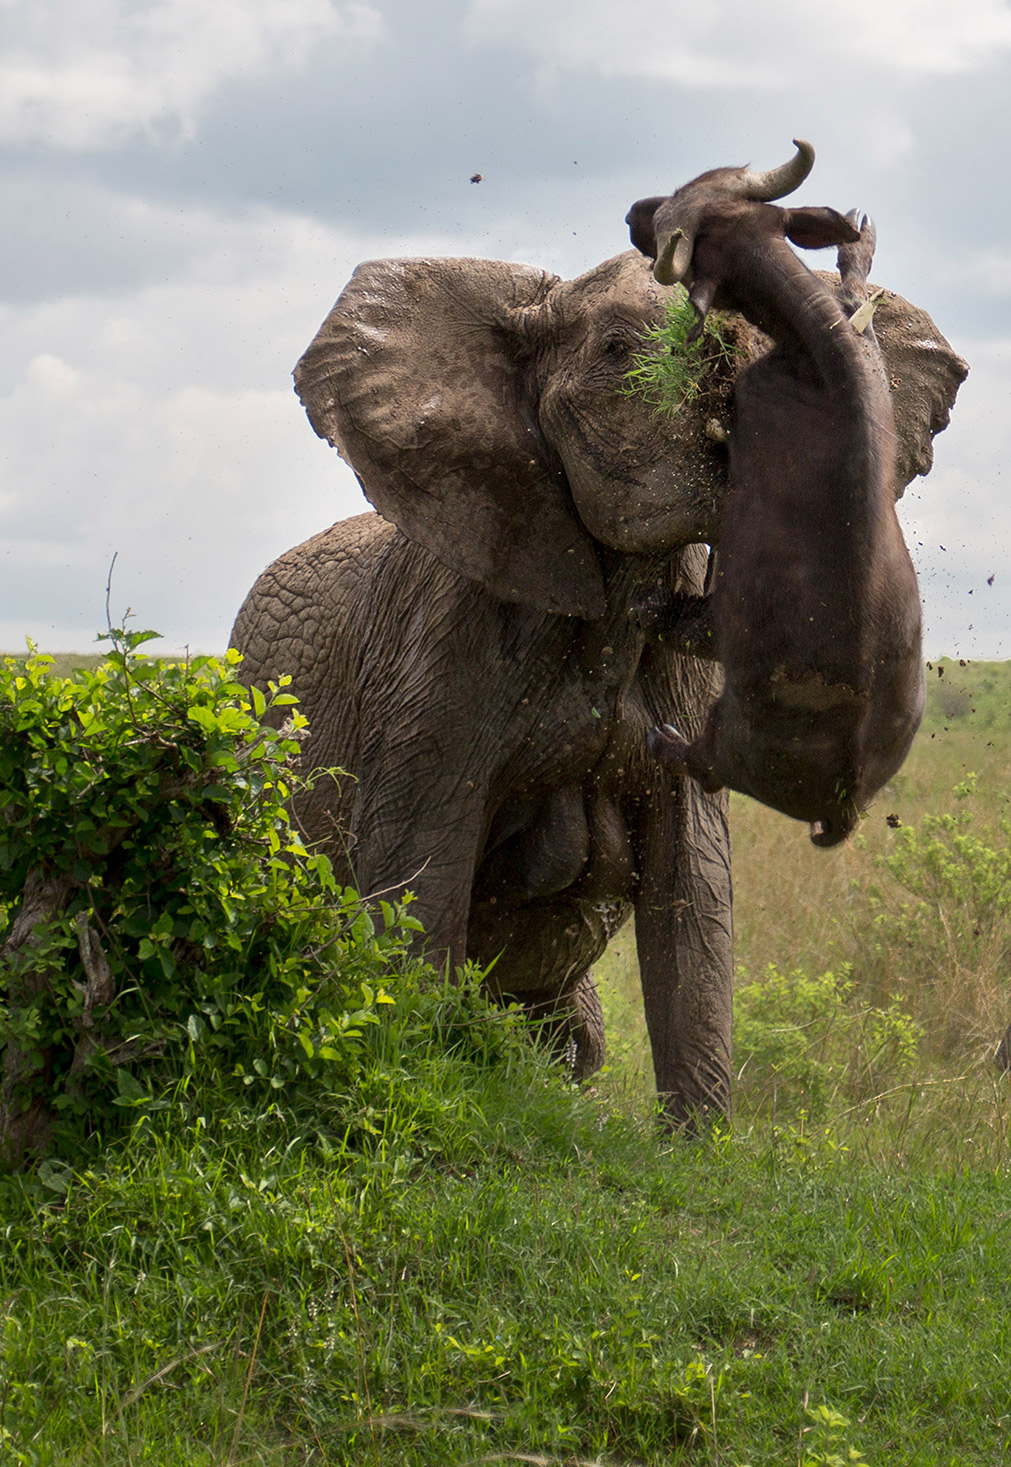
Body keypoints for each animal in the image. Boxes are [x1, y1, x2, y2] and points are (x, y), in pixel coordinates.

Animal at [233, 240, 968, 1120]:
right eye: (618, 351)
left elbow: (696, 890)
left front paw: (697, 1144)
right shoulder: (443, 649)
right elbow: (417, 876)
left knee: (577, 1037)